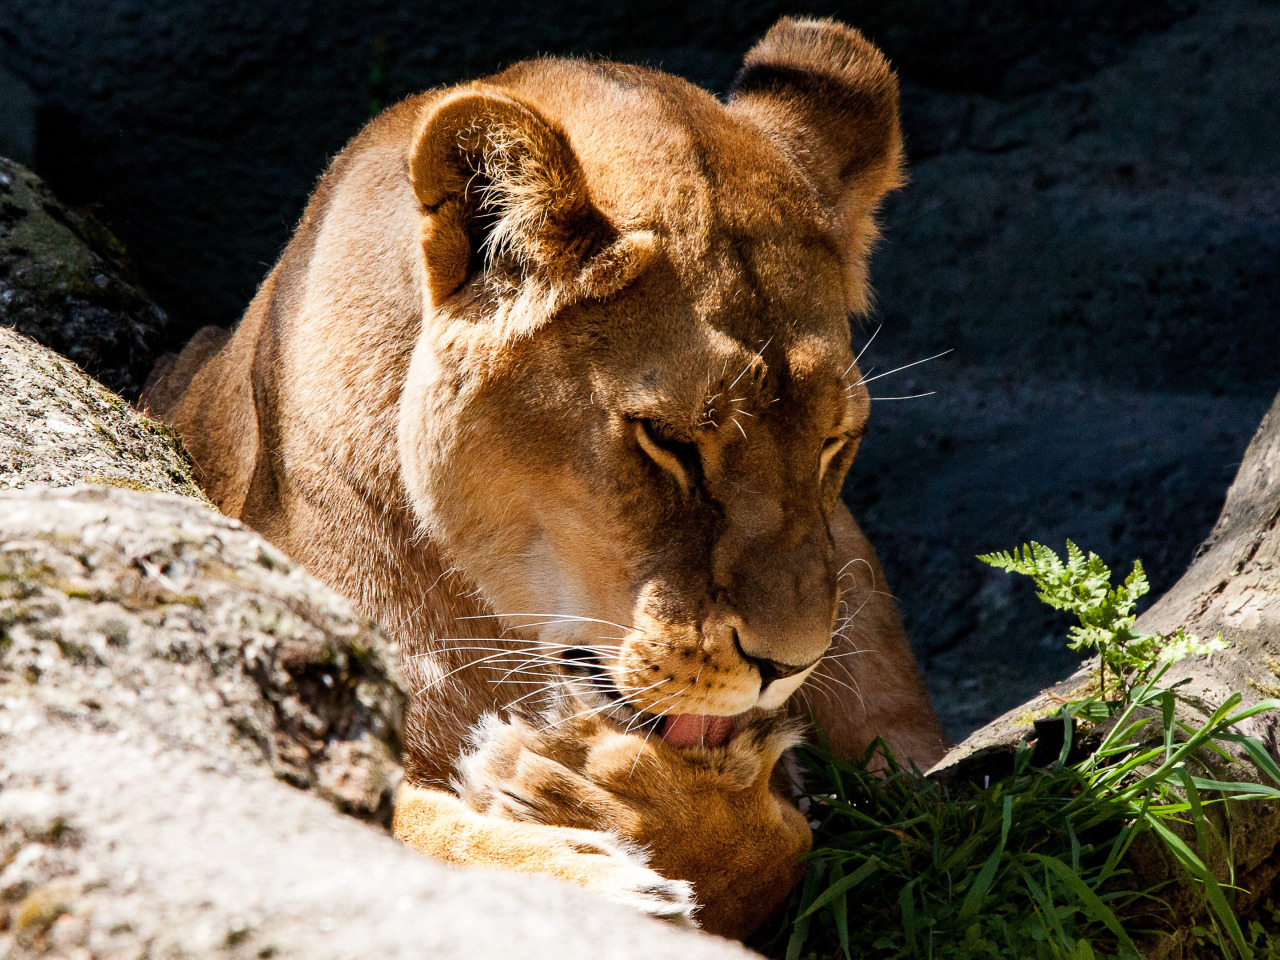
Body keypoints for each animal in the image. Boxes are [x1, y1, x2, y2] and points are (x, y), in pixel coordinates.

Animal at [145, 16, 947, 942]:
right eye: (668, 440)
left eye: (834, 441)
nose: (789, 664)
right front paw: (588, 852)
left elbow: (793, 848)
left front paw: (603, 797)